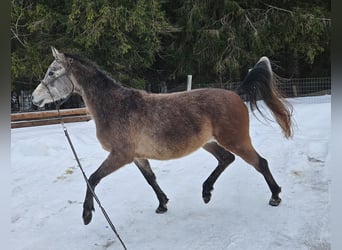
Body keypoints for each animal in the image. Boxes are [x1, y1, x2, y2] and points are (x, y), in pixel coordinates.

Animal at [32, 47, 292, 225]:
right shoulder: (137, 156)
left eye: (52, 72)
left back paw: (275, 197)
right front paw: (162, 204)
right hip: (208, 143)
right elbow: (151, 179)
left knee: (260, 162)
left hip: (236, 140)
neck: (116, 106)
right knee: (226, 159)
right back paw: (206, 192)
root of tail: (236, 95)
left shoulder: (120, 155)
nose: (35, 99)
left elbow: (93, 178)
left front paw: (87, 215)